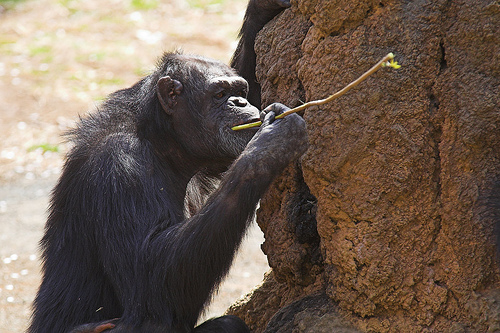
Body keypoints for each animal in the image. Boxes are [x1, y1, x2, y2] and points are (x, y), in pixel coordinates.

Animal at [28, 0, 304, 332]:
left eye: (240, 89)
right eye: (220, 94)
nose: (240, 102)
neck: (161, 138)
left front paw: (262, 10)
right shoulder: (120, 168)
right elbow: (151, 277)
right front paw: (269, 145)